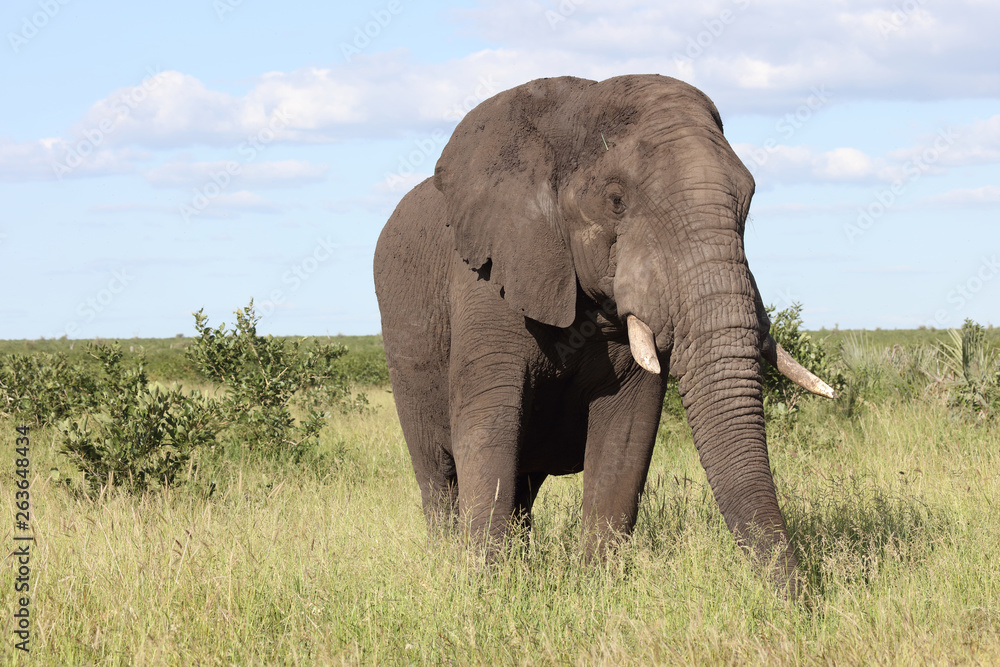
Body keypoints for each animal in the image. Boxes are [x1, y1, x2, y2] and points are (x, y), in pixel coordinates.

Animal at [372, 75, 832, 596]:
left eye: (749, 200)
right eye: (616, 200)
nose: (801, 603)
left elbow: (628, 431)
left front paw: (596, 586)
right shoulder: (484, 278)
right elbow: (488, 423)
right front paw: (486, 588)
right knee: (438, 475)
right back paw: (449, 557)